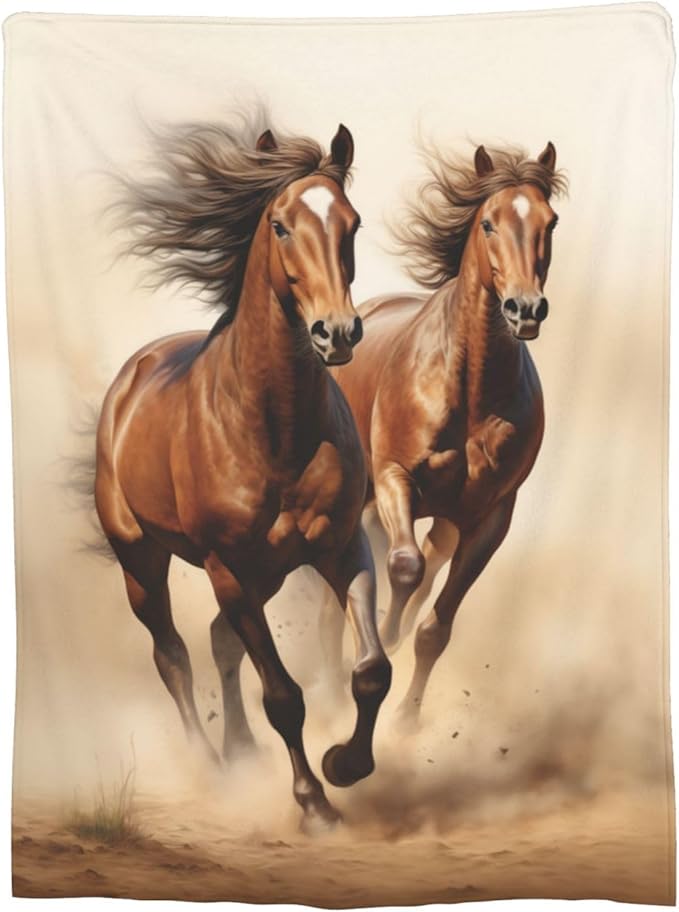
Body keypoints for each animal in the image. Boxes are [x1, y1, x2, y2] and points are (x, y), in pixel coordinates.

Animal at [94, 118, 391, 832]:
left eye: (352, 223)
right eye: (281, 226)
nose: (337, 332)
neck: (273, 427)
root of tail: (132, 375)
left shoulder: (341, 546)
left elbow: (372, 670)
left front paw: (345, 764)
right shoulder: (226, 566)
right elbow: (282, 694)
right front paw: (314, 804)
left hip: (267, 572)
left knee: (218, 642)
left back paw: (241, 752)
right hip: (142, 560)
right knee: (172, 653)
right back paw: (210, 765)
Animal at [324, 141, 567, 727]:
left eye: (550, 222)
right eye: (488, 223)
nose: (525, 308)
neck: (471, 394)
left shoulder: (490, 517)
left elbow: (436, 627)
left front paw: (406, 724)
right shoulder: (394, 478)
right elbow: (403, 566)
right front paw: (384, 633)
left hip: (450, 516)